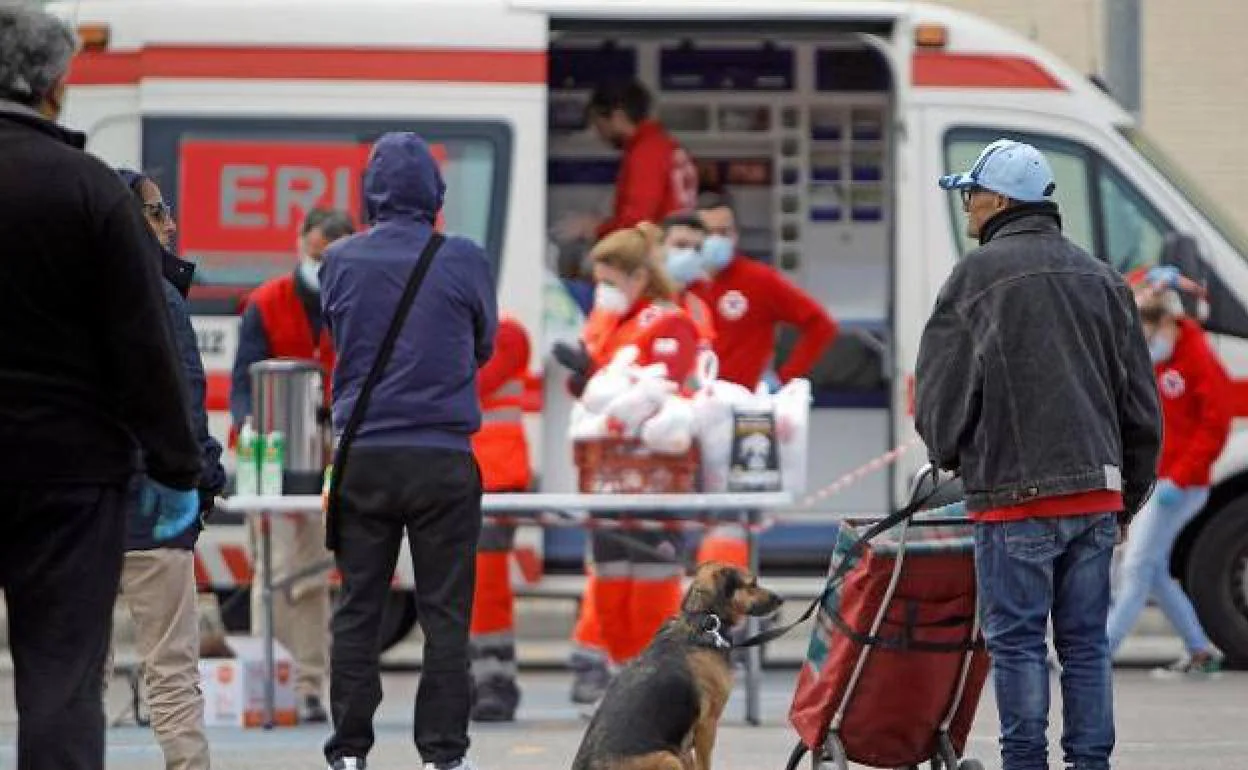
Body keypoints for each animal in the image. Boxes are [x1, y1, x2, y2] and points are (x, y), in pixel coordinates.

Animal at [571, 559, 783, 768]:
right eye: (752, 584)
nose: (781, 599)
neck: (703, 621)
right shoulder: (707, 725)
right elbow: (704, 764)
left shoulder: (686, 744)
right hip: (667, 757)